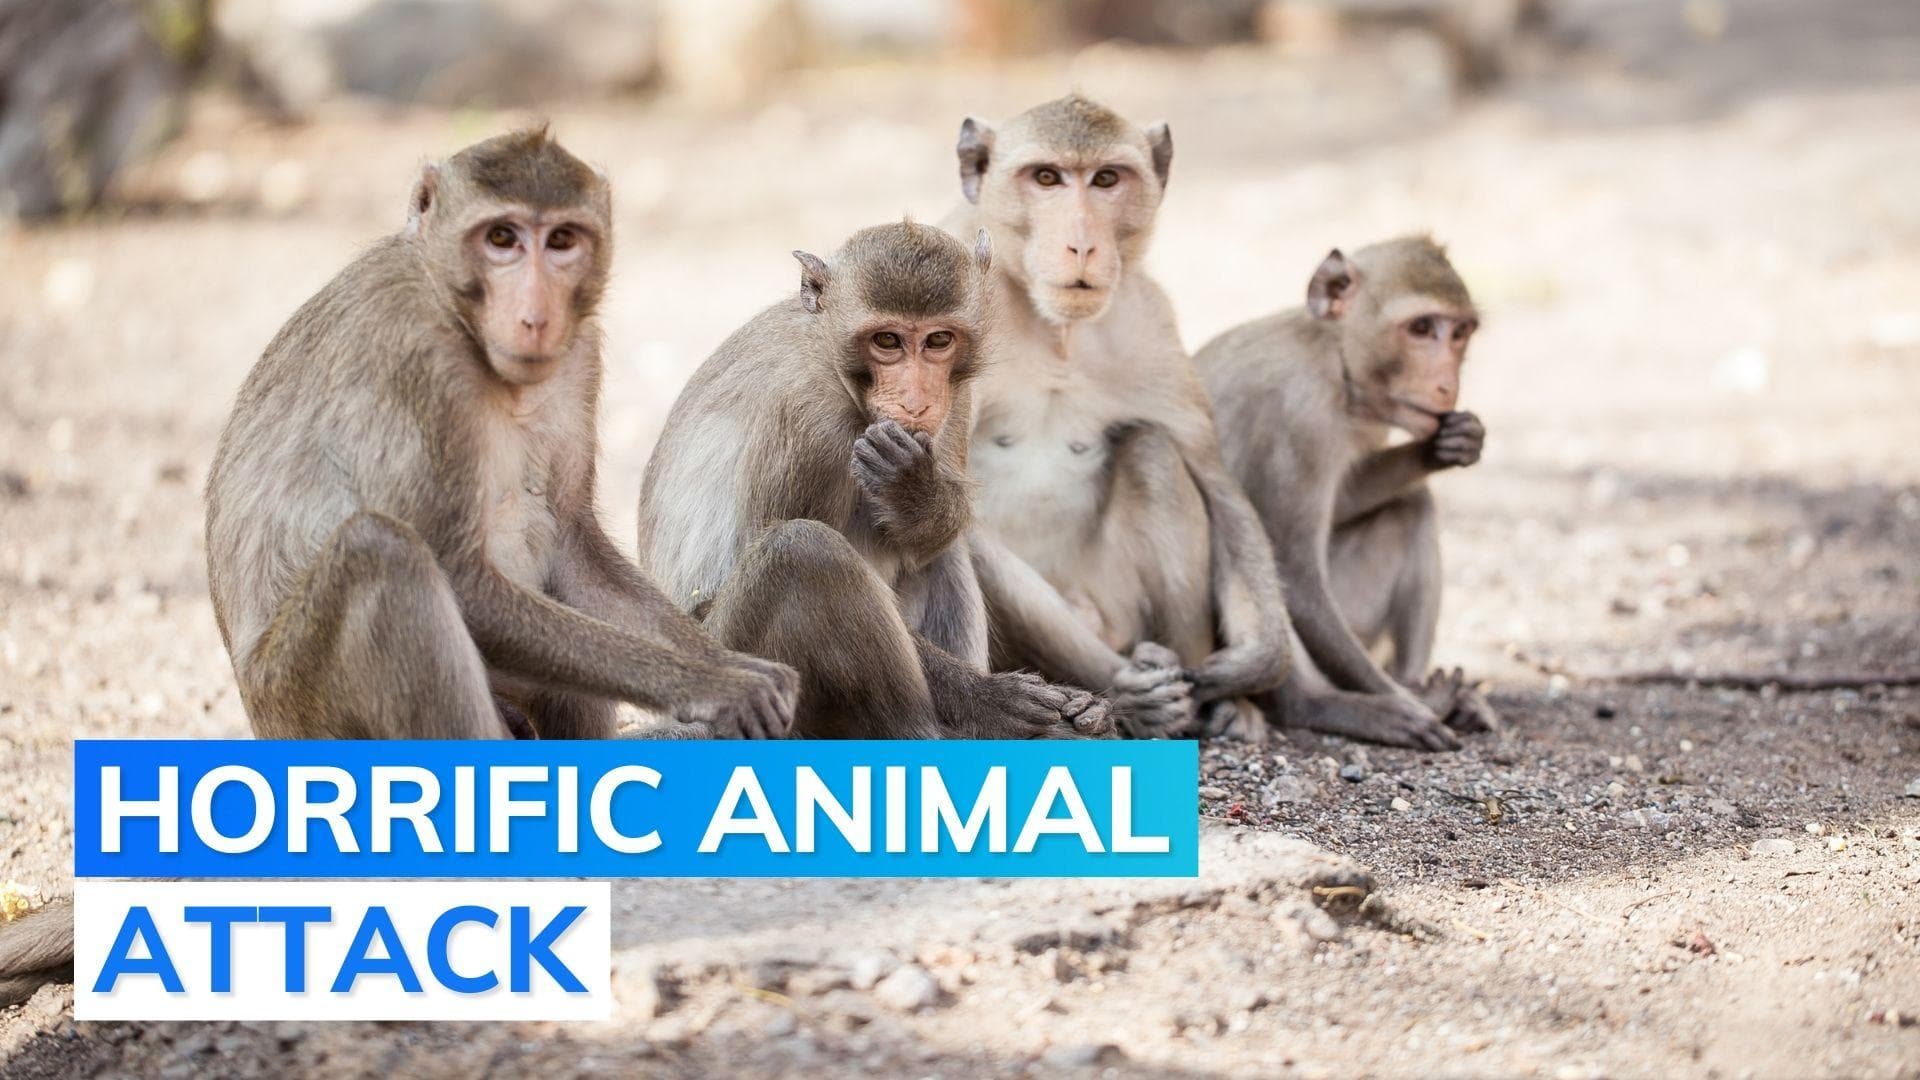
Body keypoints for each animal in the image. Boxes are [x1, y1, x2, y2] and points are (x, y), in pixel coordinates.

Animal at [203, 128, 797, 742]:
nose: (535, 316)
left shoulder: (579, 353)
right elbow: (461, 580)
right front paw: (713, 684)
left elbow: (568, 544)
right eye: (501, 238)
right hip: (301, 705)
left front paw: (726, 660)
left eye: (561, 240)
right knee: (381, 552)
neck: (457, 313)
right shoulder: (418, 356)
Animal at [637, 219, 1113, 741]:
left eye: (938, 340)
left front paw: (915, 493)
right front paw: (991, 698)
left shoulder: (959, 395)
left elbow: (929, 538)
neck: (830, 357)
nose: (916, 402)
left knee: (938, 554)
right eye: (886, 341)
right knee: (802, 551)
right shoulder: (809, 419)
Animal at [940, 94, 1291, 741]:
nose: (1082, 245)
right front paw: (1125, 698)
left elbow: (1214, 480)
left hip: (1122, 610)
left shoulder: (1147, 321)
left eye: (1106, 179)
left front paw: (1253, 664)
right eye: (1046, 178)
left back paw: (1205, 702)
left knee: (1153, 452)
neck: (1054, 328)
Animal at [1193, 236, 1500, 750]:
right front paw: (1406, 705)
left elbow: (1347, 499)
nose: (1447, 385)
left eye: (1459, 333)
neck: (1332, 359)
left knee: (1412, 506)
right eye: (1421, 328)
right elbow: (1293, 575)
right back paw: (1335, 705)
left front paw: (1445, 446)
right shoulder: (1298, 419)